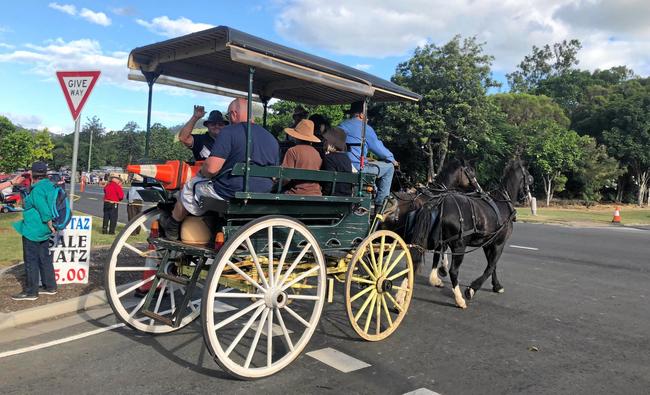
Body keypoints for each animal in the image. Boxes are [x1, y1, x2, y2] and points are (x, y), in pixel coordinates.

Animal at [410, 159, 532, 308]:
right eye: (529, 176)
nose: (527, 197)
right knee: (453, 270)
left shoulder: (489, 243)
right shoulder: (499, 243)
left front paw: (496, 285)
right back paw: (459, 298)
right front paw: (472, 288)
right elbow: (491, 266)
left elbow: (492, 265)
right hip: (459, 245)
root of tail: (438, 204)